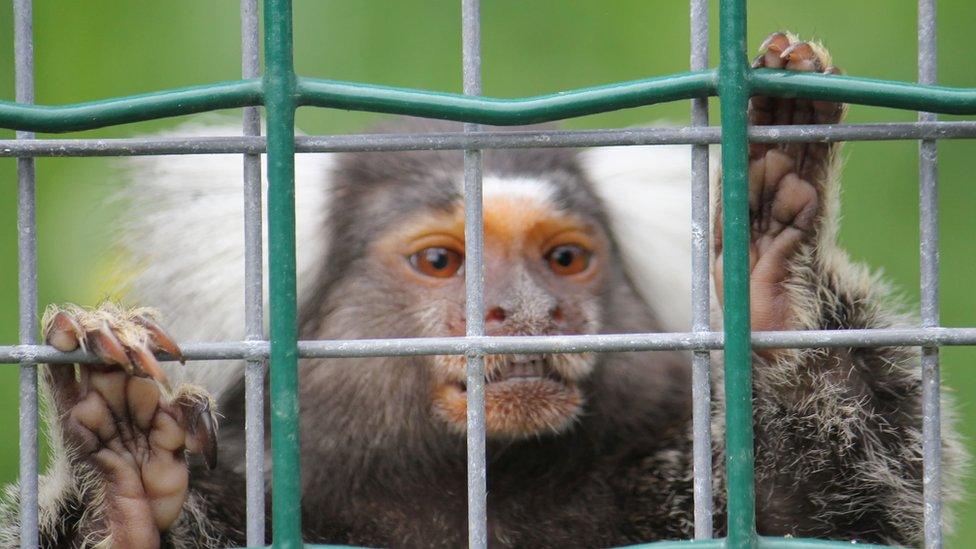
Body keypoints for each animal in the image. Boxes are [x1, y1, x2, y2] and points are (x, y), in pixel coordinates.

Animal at [0, 32, 964, 544]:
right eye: (441, 262)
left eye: (565, 260)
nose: (525, 312)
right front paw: (131, 475)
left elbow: (832, 511)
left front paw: (768, 271)